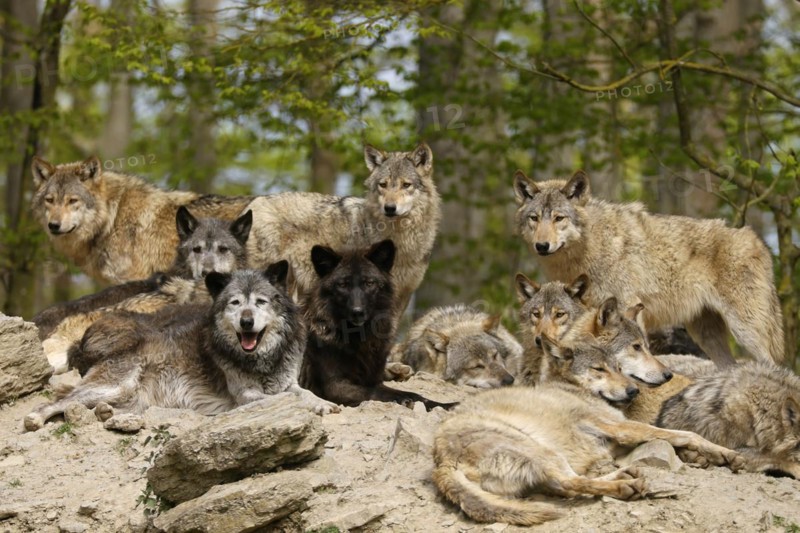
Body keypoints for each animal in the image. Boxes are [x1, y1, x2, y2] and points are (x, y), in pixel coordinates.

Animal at [24, 264, 338, 431]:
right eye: (235, 303)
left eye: (261, 302)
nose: (246, 322)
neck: (262, 360)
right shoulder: (245, 396)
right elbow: (289, 399)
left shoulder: (288, 383)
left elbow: (302, 393)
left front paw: (325, 404)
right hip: (113, 386)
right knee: (58, 401)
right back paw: (35, 418)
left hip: (130, 399)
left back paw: (105, 414)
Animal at [245, 143, 440, 319]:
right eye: (383, 185)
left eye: (406, 185)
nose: (390, 208)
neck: (399, 242)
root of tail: (254, 201)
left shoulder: (402, 295)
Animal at [299, 239, 455, 410]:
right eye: (342, 285)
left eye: (369, 283)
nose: (357, 312)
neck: (358, 338)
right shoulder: (335, 386)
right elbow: (377, 393)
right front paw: (404, 400)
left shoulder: (373, 378)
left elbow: (413, 394)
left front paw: (444, 404)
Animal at [432, 336, 744, 526]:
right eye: (599, 370)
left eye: (618, 367)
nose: (633, 391)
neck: (575, 388)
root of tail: (441, 462)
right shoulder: (620, 428)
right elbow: (688, 434)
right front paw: (728, 454)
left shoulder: (619, 438)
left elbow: (676, 439)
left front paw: (705, 457)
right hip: (540, 450)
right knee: (570, 483)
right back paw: (625, 487)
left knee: (567, 483)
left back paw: (625, 477)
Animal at [513, 169, 784, 366]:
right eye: (534, 218)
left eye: (559, 218)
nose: (542, 245)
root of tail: (758, 241)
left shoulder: (628, 307)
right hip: (707, 335)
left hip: (747, 332)